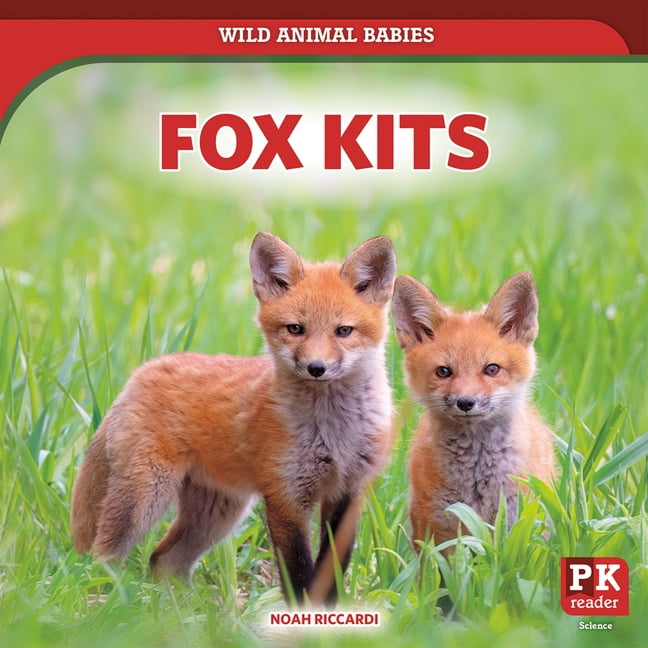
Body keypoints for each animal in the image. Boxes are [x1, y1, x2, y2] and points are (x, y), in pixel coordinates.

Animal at [70, 232, 397, 606]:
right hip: (145, 498)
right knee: (103, 556)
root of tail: (142, 371)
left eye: (343, 330)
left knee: (162, 560)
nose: (316, 368)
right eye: (295, 329)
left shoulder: (348, 491)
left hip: (217, 513)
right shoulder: (285, 494)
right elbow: (298, 572)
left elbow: (332, 571)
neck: (334, 432)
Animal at [391, 271, 554, 547]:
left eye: (492, 369)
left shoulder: (516, 522)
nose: (466, 402)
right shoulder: (439, 528)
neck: (477, 477)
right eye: (443, 371)